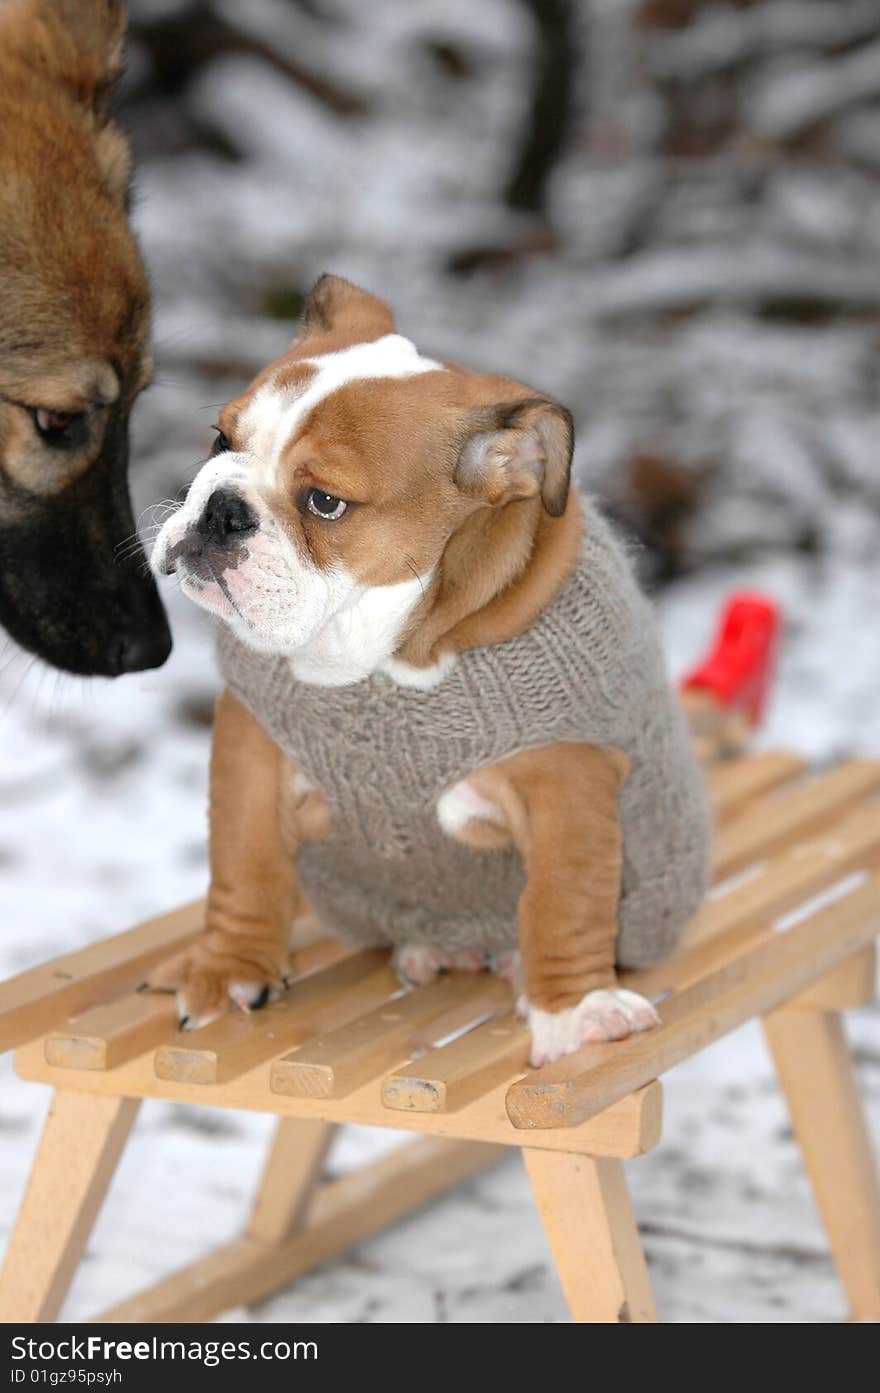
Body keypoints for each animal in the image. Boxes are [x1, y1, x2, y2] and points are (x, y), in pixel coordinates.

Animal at [151, 279, 712, 1064]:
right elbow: (242, 859)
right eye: (221, 439)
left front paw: (575, 1008)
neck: (394, 653)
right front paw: (229, 966)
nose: (221, 510)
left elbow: (564, 901)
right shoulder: (250, 740)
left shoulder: (566, 776)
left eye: (325, 502)